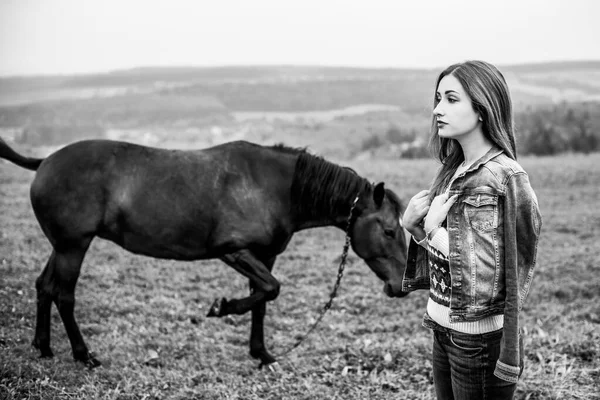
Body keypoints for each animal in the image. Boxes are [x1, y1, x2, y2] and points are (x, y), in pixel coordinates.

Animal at [0, 138, 408, 368]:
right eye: (389, 231)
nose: (399, 287)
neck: (274, 187)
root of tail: (43, 162)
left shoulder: (265, 256)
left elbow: (262, 298)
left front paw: (261, 354)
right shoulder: (232, 251)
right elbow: (269, 289)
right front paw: (220, 307)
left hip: (63, 245)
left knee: (44, 287)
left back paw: (44, 347)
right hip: (74, 247)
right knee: (65, 296)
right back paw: (84, 355)